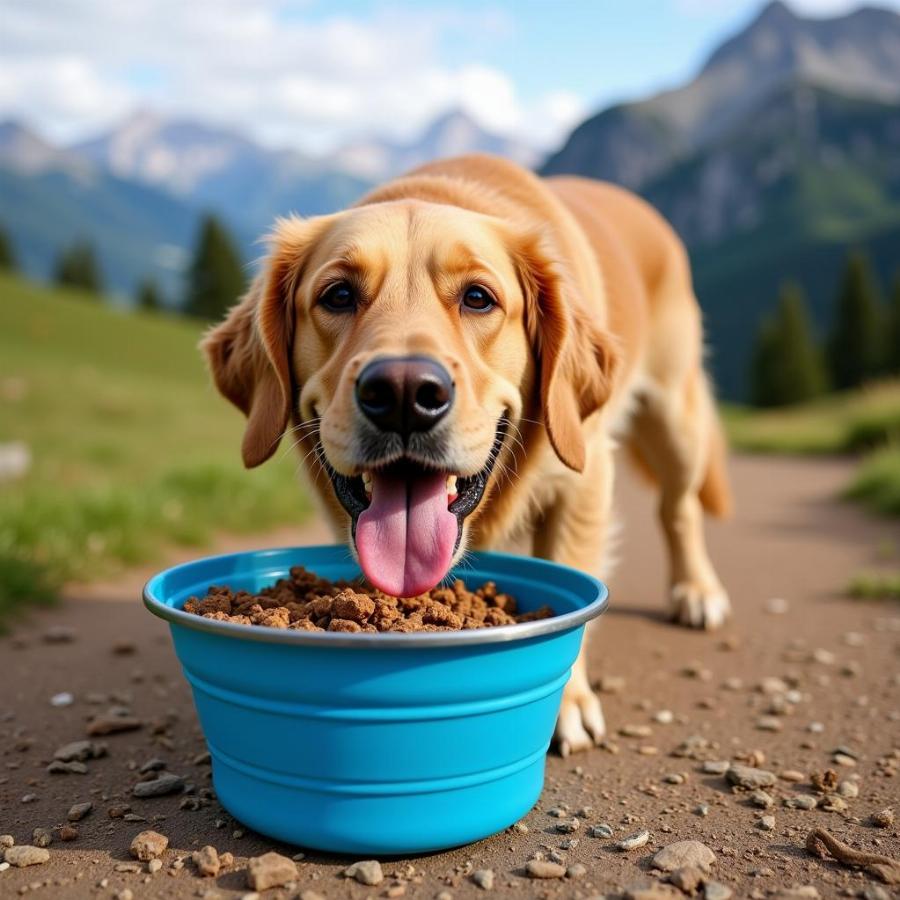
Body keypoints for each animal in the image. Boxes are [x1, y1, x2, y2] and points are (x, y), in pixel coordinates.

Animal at [204, 153, 732, 752]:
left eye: (478, 297)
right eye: (337, 295)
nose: (404, 395)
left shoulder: (584, 475)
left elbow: (571, 566)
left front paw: (567, 702)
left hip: (675, 417)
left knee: (679, 507)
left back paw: (696, 590)